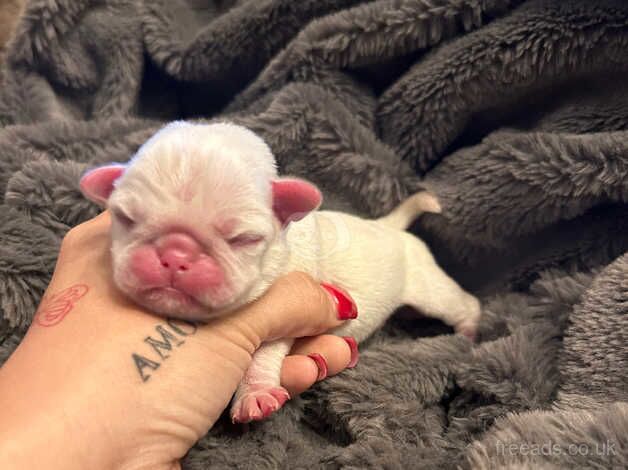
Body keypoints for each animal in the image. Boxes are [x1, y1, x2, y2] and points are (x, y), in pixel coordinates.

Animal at [78, 120, 480, 422]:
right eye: (125, 218)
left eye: (242, 238)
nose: (176, 254)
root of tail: (388, 227)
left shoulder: (282, 320)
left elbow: (261, 356)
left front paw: (254, 395)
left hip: (427, 284)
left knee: (459, 302)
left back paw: (470, 329)